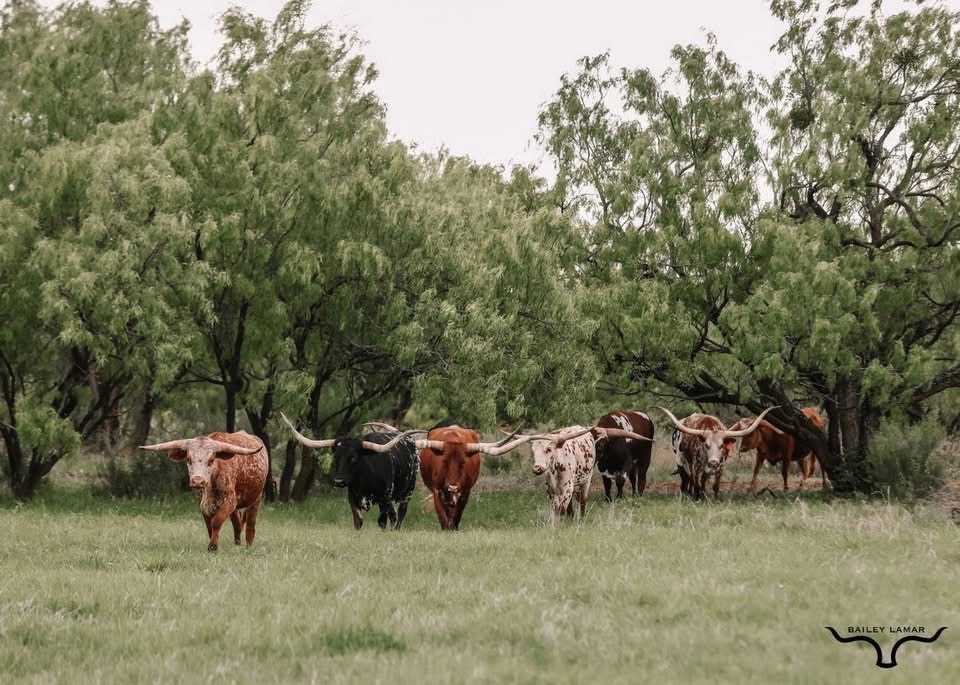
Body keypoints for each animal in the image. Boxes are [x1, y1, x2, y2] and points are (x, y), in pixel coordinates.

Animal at [281, 414, 422, 530]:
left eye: (353, 458)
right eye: (335, 457)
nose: (339, 481)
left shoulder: (384, 499)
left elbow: (382, 522)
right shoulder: (352, 499)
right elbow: (358, 521)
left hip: (407, 493)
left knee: (400, 515)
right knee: (393, 516)